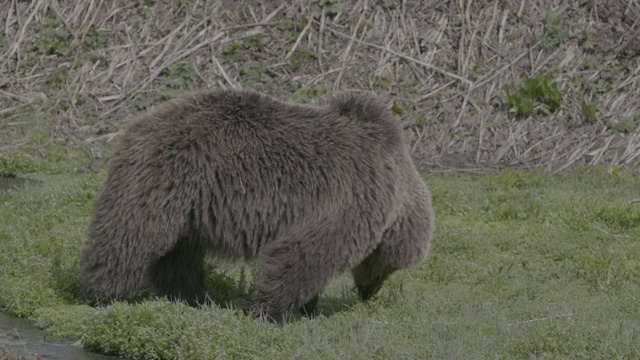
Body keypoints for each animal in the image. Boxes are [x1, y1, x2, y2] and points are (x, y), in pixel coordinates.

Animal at [77, 88, 432, 322]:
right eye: (391, 266)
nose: (367, 293)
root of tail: (139, 123)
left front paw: (306, 307)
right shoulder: (350, 199)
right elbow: (303, 255)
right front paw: (274, 312)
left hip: (189, 210)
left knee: (179, 255)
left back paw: (192, 297)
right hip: (169, 179)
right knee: (131, 237)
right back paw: (101, 291)